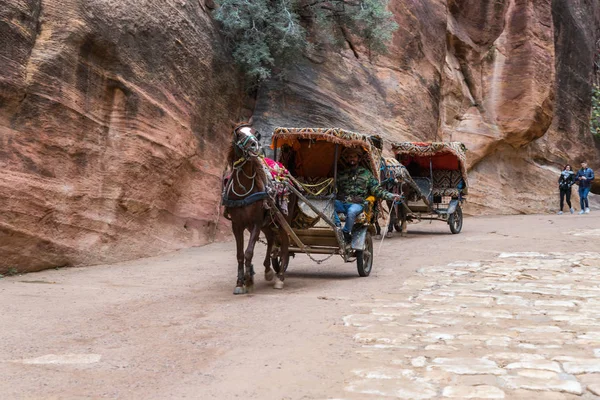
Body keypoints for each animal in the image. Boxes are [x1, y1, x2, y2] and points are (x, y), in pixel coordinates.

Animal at [223, 124, 292, 294]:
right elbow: (240, 254)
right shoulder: (237, 225)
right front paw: (240, 282)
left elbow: (249, 252)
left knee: (285, 245)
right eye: (239, 135)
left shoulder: (256, 222)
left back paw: (280, 278)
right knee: (271, 239)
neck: (244, 190)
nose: (255, 145)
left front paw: (248, 280)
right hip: (267, 223)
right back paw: (268, 270)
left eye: (256, 133)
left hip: (282, 220)